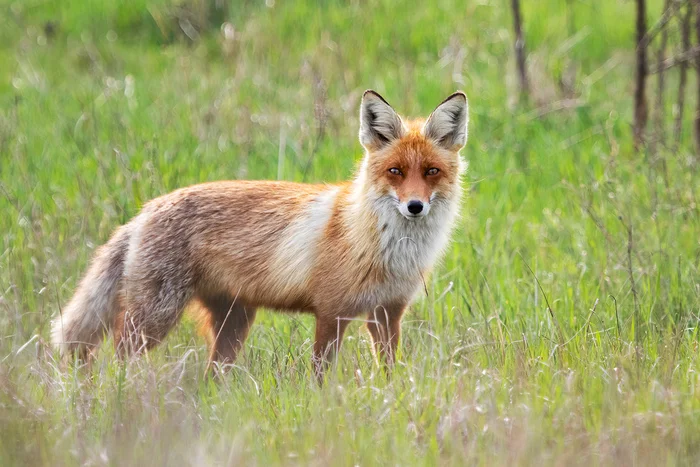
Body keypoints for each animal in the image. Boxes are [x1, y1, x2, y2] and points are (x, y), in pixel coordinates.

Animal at [53, 91, 470, 380]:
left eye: (431, 171)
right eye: (395, 172)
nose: (415, 206)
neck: (387, 250)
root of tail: (143, 212)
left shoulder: (387, 314)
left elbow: (389, 373)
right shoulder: (330, 312)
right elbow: (320, 377)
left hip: (232, 326)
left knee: (211, 378)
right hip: (156, 318)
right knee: (118, 356)